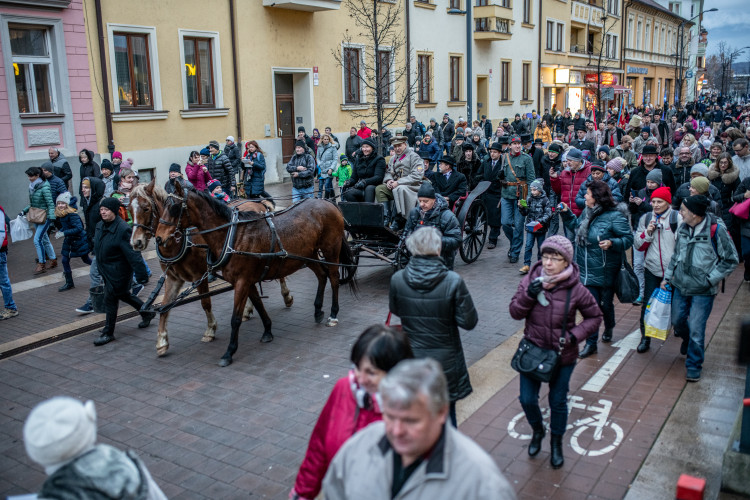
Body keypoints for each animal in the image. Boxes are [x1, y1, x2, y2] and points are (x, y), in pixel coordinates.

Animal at [129, 182, 294, 358]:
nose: (136, 242)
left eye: (146, 208)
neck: (181, 242)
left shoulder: (199, 275)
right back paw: (248, 309)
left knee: (277, 273)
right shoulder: (173, 278)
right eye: (129, 209)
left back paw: (286, 296)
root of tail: (256, 202)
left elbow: (205, 303)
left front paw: (210, 330)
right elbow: (165, 306)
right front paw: (161, 341)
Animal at [153, 182, 358, 366]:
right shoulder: (247, 281)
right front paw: (267, 330)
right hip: (308, 255)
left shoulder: (242, 281)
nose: (159, 238)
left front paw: (229, 352)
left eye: (174, 207)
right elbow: (259, 305)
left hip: (331, 249)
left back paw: (333, 313)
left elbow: (235, 319)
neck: (232, 236)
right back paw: (317, 310)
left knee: (333, 278)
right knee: (322, 275)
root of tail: (328, 202)